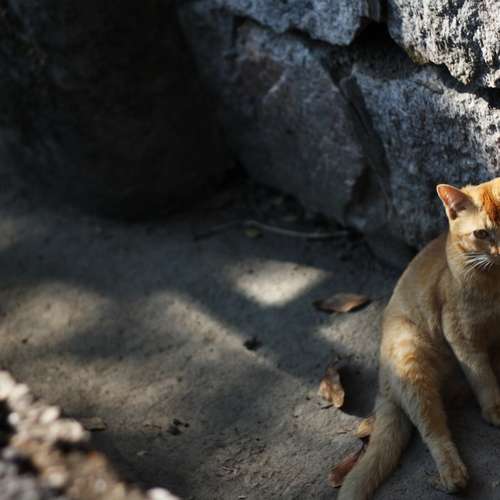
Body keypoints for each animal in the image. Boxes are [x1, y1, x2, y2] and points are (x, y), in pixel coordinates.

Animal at [338, 178, 500, 500]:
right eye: (481, 233)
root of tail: (383, 384)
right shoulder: (461, 336)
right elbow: (483, 378)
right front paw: (495, 408)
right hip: (412, 364)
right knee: (434, 430)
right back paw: (453, 476)